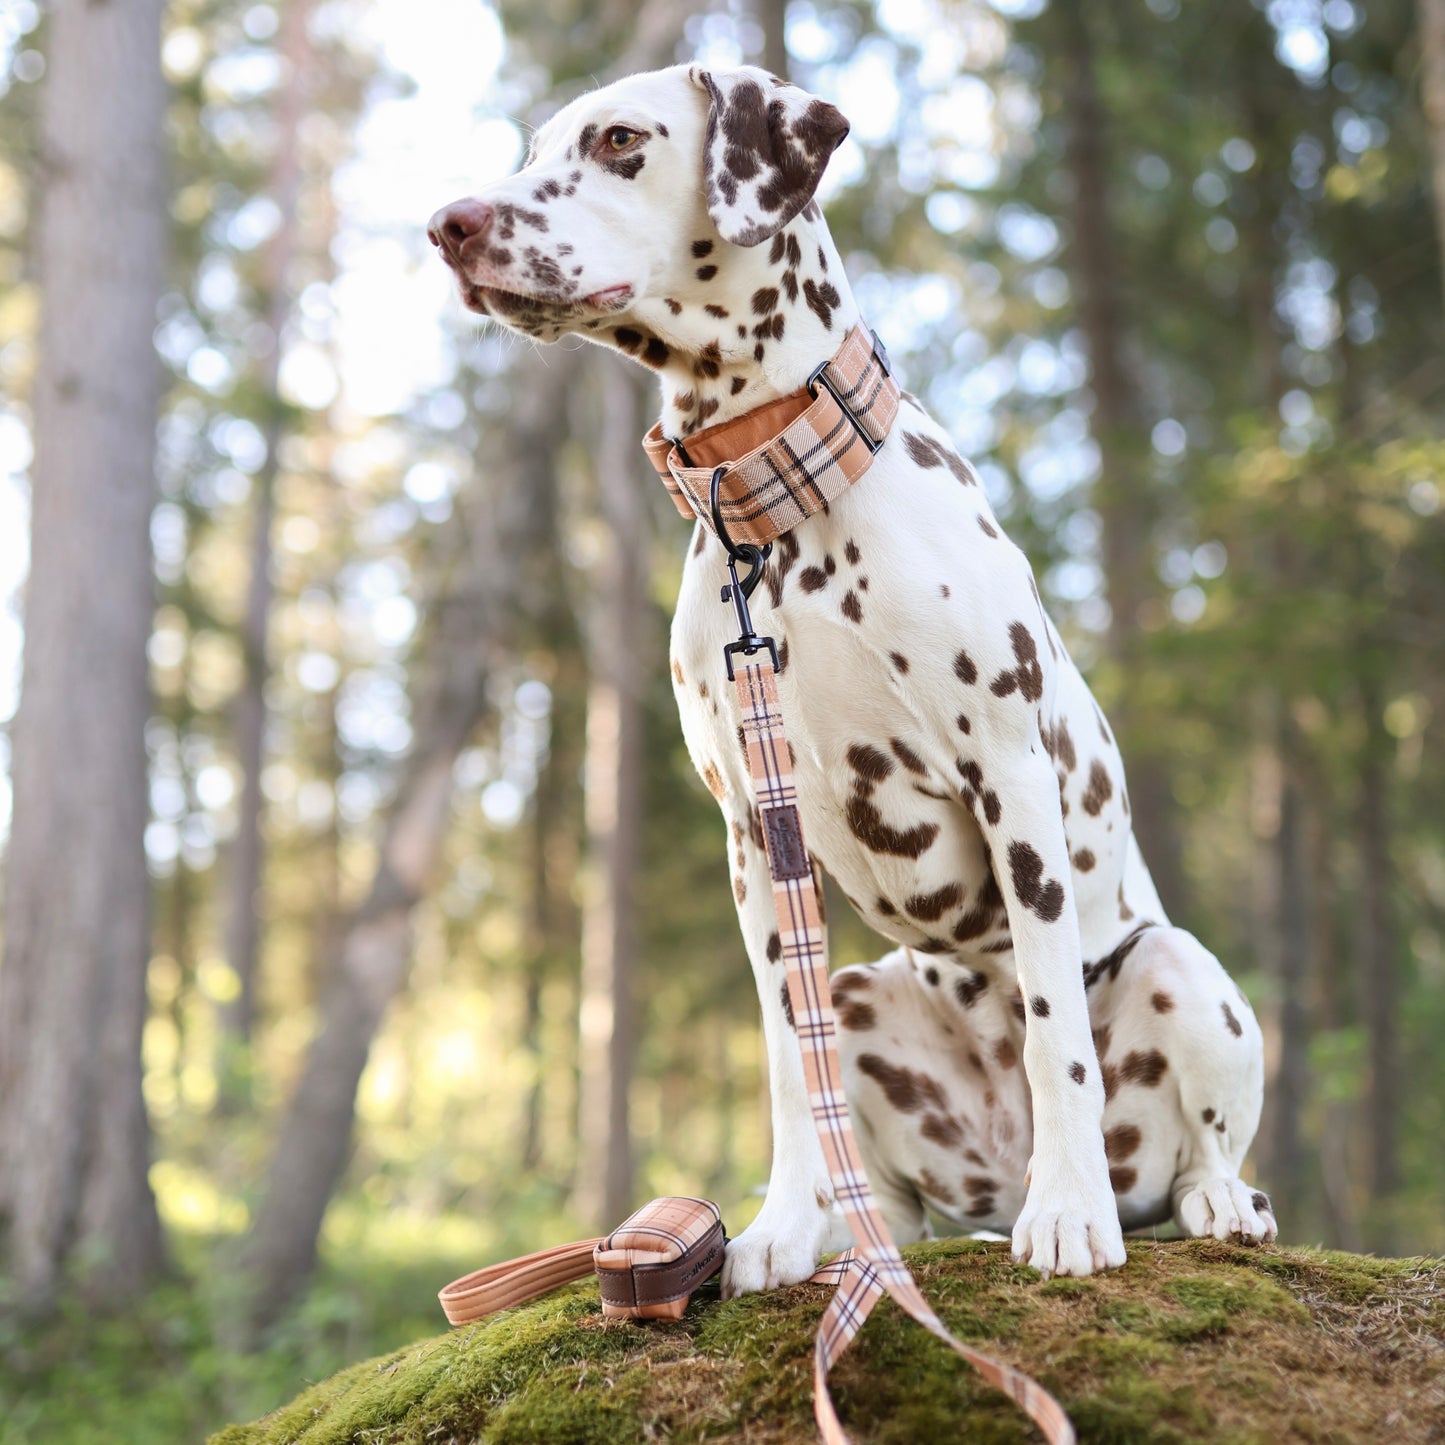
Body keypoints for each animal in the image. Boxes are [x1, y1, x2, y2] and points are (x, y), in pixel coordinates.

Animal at [427, 62, 1277, 1294]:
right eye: (532, 146)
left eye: (621, 140)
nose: (449, 225)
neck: (772, 500)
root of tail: (991, 1180)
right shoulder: (753, 840)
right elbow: (790, 1063)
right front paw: (779, 1227)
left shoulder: (1010, 777)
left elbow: (1057, 1034)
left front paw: (1070, 1210)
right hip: (867, 990)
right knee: (883, 1178)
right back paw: (854, 1231)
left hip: (1178, 966)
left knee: (1201, 1149)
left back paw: (1195, 1197)